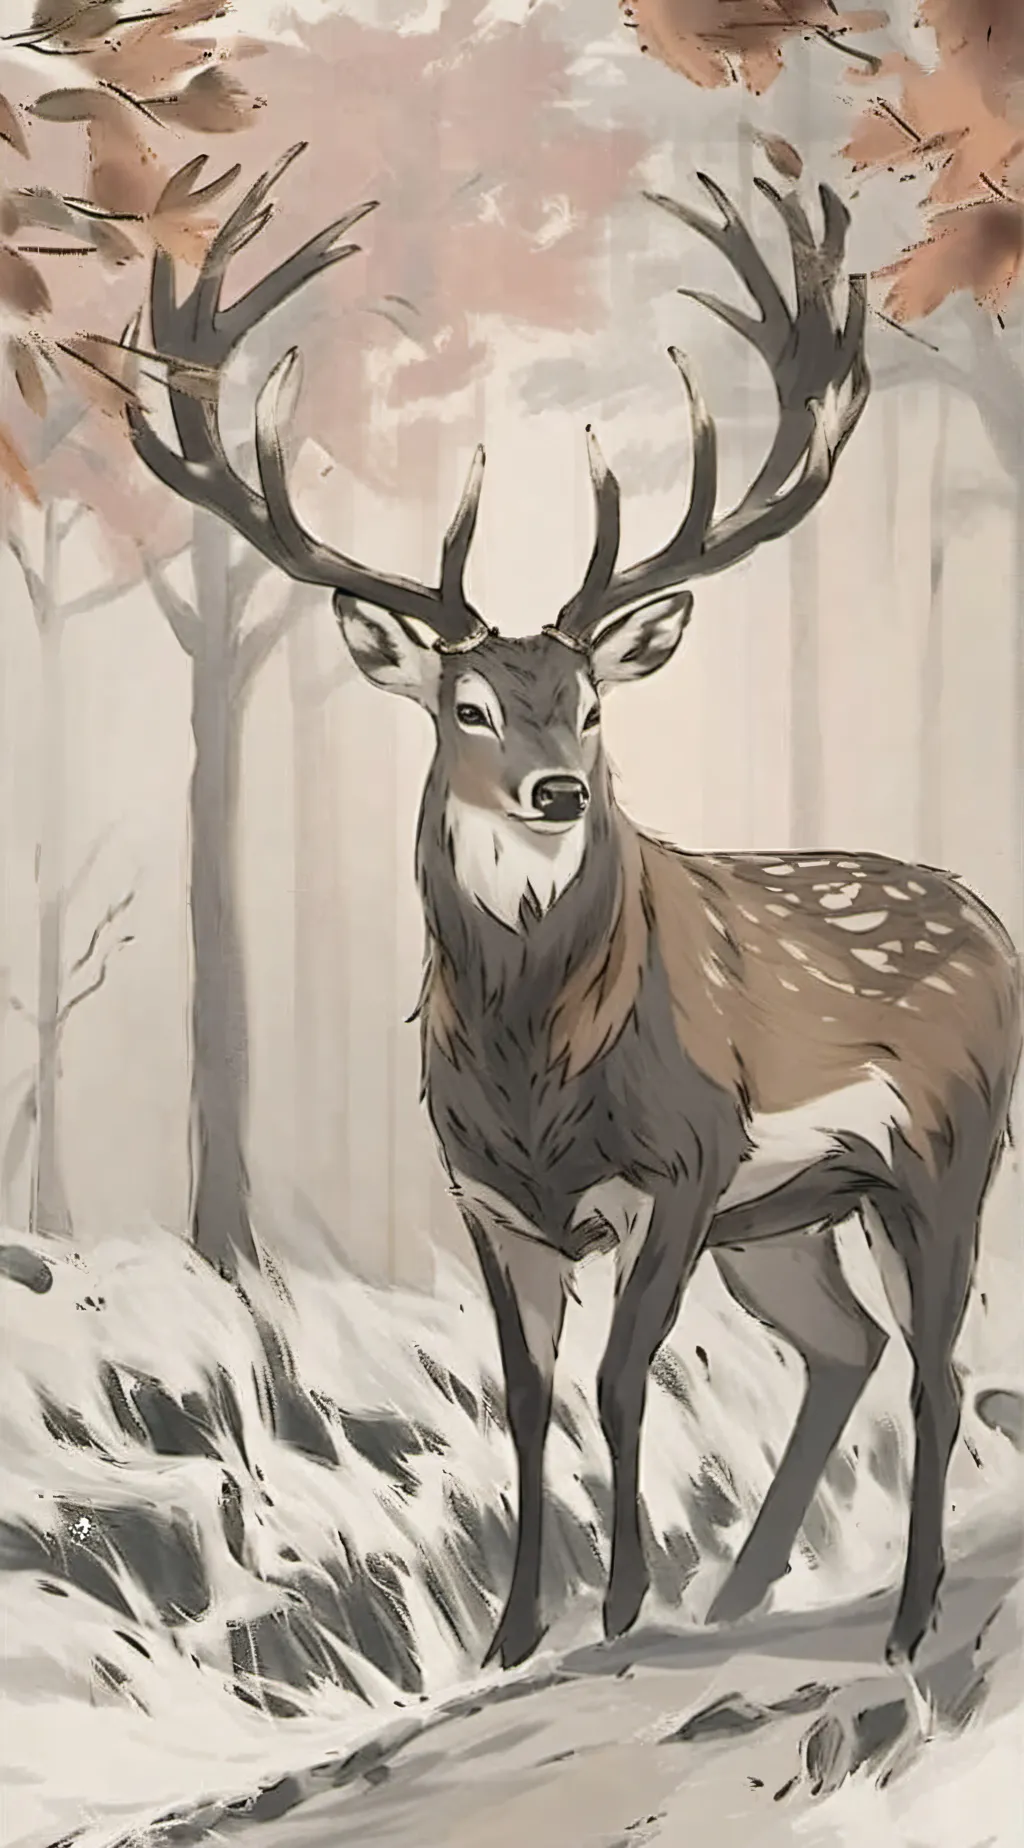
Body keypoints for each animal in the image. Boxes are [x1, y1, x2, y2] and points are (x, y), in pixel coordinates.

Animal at [125, 145, 1022, 1681]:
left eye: (594, 706)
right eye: (466, 706)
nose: (554, 788)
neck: (537, 1070)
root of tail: (985, 914)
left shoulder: (688, 1160)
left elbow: (617, 1381)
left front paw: (616, 1610)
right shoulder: (491, 1200)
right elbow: (527, 1398)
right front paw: (511, 1632)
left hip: (941, 1158)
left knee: (938, 1371)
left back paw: (904, 1624)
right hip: (790, 1217)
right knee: (845, 1348)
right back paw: (743, 1592)